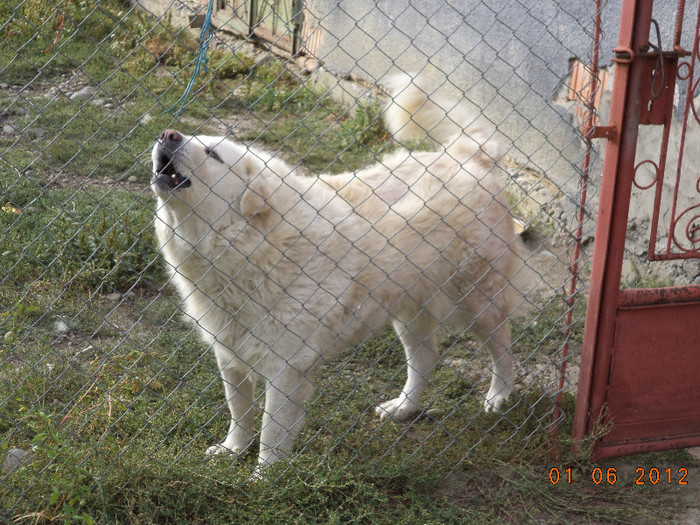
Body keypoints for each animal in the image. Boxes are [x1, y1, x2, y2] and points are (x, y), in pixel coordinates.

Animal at [150, 77, 516, 466]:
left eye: (213, 155)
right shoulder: (229, 354)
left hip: (478, 301)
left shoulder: (286, 368)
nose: (168, 134)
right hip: (408, 309)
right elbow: (240, 411)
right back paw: (403, 408)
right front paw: (232, 449)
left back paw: (499, 396)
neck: (248, 245)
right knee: (425, 358)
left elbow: (271, 433)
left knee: (503, 347)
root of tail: (467, 155)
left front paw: (263, 475)